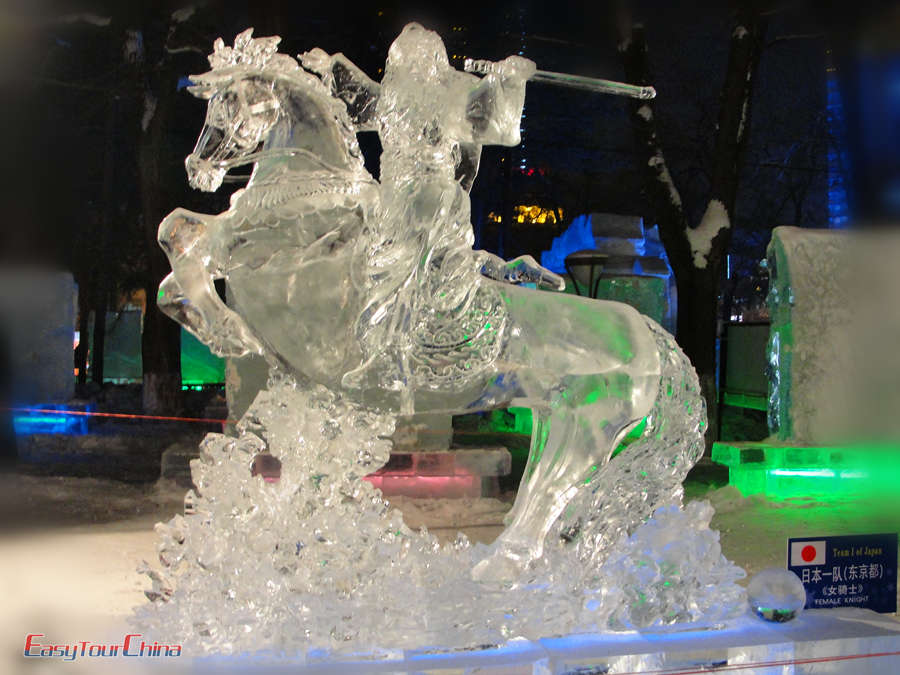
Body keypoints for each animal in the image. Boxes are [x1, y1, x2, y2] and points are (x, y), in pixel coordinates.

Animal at [158, 26, 708, 584]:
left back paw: (496, 574)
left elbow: (184, 237)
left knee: (547, 499)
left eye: (230, 103)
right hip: (555, 416)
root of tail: (644, 329)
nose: (198, 170)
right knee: (543, 500)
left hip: (590, 428)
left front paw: (223, 327)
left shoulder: (264, 260)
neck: (314, 197)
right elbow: (179, 234)